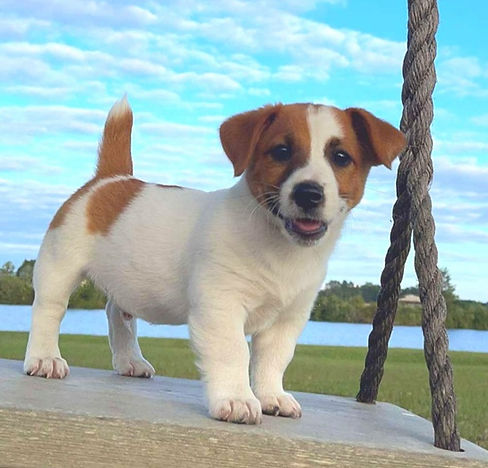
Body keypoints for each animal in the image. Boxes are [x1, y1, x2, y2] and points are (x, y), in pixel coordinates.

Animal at [23, 98, 404, 424]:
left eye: (340, 157)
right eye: (281, 151)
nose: (308, 193)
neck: (279, 246)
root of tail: (110, 180)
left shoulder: (287, 319)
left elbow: (273, 359)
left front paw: (271, 396)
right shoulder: (221, 307)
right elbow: (234, 353)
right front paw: (236, 400)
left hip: (126, 283)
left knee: (118, 314)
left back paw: (130, 360)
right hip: (59, 265)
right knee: (49, 311)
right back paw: (44, 358)